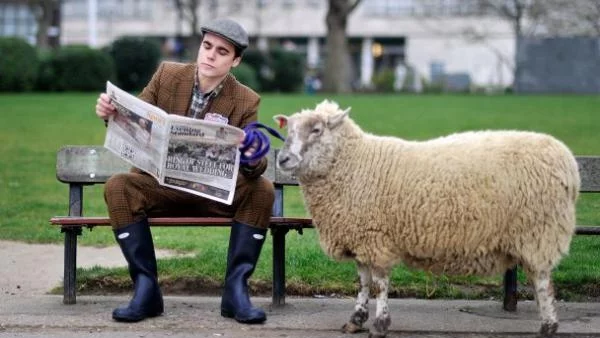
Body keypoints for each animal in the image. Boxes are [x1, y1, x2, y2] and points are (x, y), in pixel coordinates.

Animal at [274, 99, 580, 338]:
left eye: (316, 130)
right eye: (289, 130)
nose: (283, 159)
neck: (355, 164)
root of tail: (567, 161)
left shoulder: (377, 237)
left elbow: (379, 284)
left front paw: (380, 325)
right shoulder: (361, 236)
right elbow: (362, 282)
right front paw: (356, 320)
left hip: (539, 232)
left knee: (543, 281)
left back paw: (548, 326)